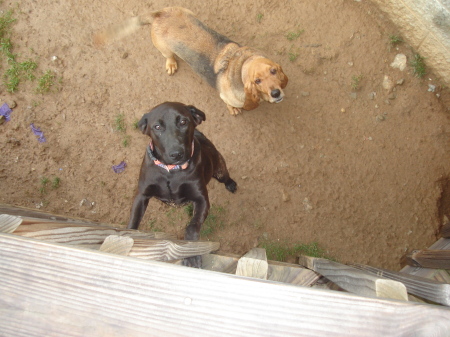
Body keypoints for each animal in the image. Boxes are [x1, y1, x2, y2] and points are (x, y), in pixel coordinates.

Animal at [94, 5, 288, 114]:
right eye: (257, 81)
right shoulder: (225, 96)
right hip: (164, 49)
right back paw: (171, 64)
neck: (240, 66)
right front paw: (233, 109)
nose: (276, 93)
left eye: (274, 71)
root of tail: (158, 14)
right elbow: (229, 104)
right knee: (169, 56)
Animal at [127, 101, 237, 266]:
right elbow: (133, 225)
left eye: (183, 122)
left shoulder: (201, 199)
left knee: (225, 176)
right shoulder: (141, 195)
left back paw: (231, 184)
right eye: (157, 127)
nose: (176, 154)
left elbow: (191, 227)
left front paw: (191, 255)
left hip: (219, 170)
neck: (171, 172)